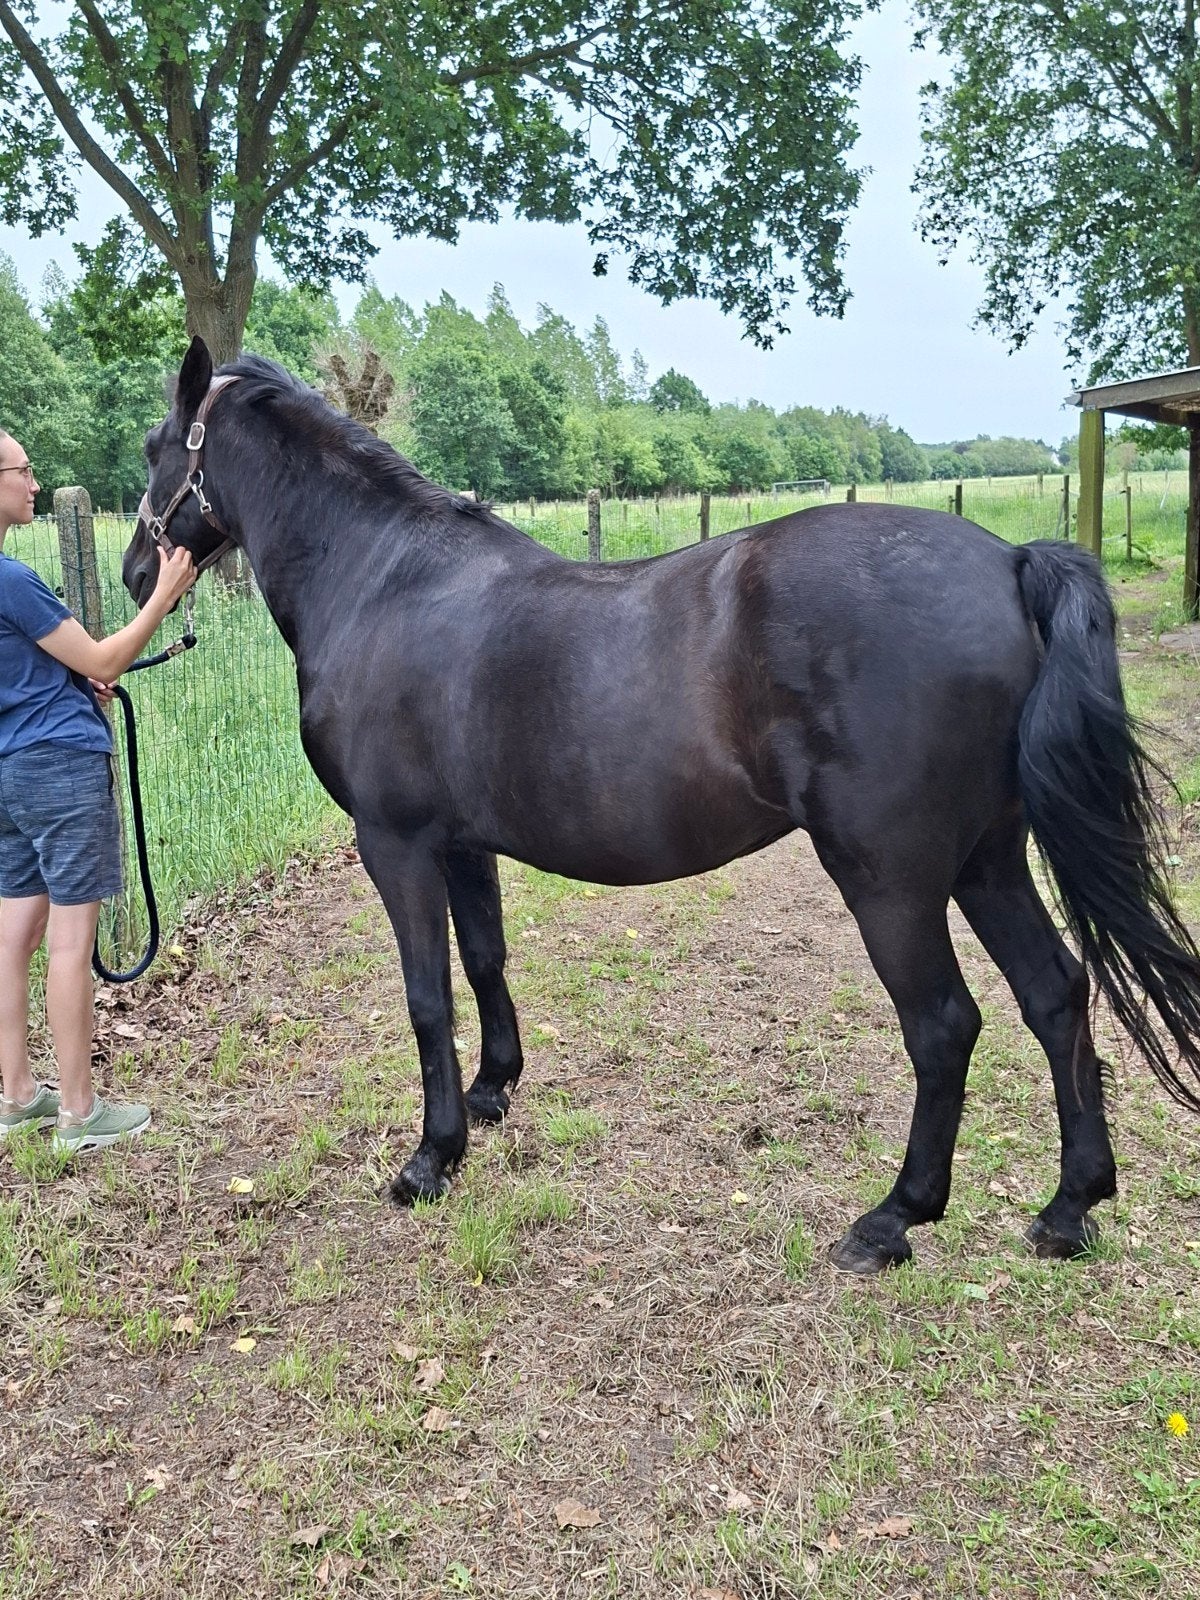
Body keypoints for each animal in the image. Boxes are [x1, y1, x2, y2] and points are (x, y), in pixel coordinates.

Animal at [122, 337, 1200, 1275]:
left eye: (156, 446)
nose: (137, 573)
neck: (383, 580)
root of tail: (1009, 562)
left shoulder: (396, 844)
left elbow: (427, 994)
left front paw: (432, 1158)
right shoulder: (464, 844)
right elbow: (484, 962)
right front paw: (493, 1092)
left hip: (891, 879)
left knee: (943, 1025)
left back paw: (892, 1219)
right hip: (987, 858)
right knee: (1055, 993)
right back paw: (1068, 1207)